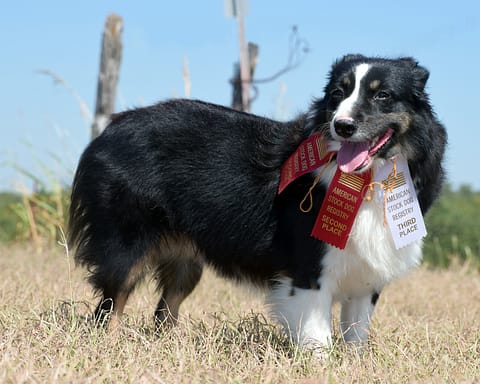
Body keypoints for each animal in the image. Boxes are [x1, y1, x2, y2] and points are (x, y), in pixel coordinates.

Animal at [68, 54, 446, 352]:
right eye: (338, 94)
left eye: (383, 95)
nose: (342, 126)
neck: (368, 180)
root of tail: (110, 127)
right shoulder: (308, 272)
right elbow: (318, 339)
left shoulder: (365, 278)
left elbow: (356, 337)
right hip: (125, 245)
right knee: (109, 308)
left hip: (185, 262)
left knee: (164, 311)